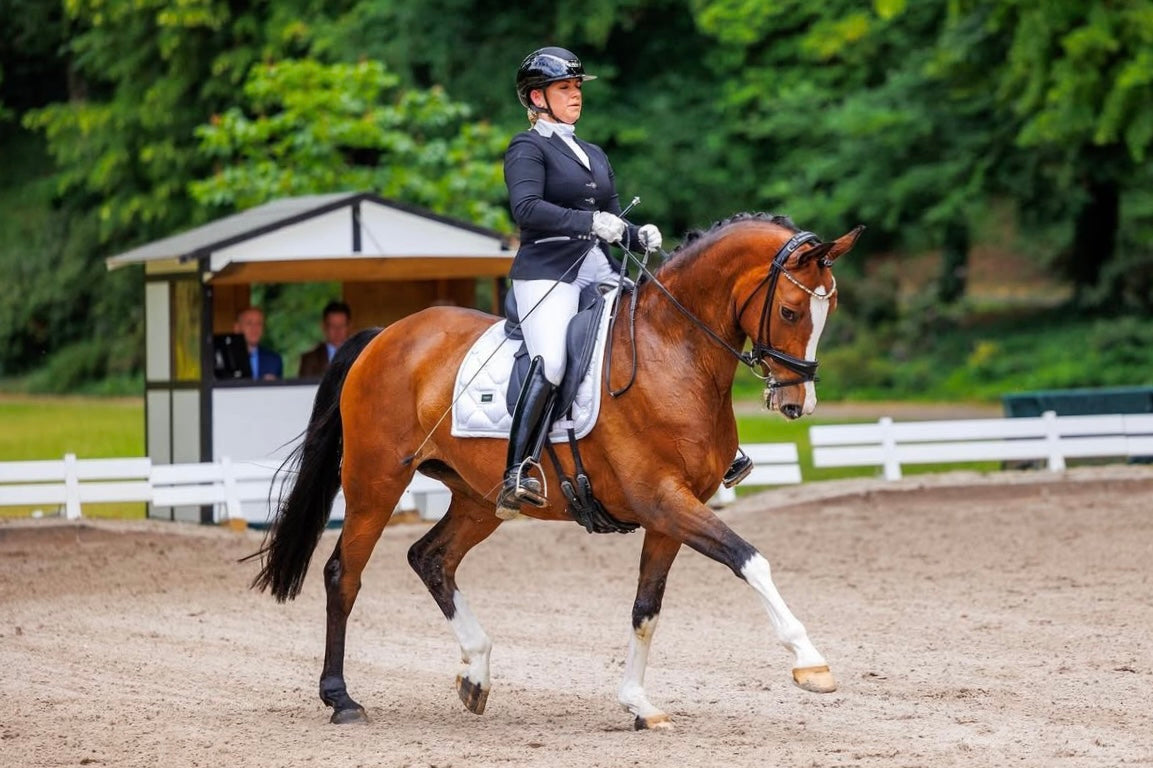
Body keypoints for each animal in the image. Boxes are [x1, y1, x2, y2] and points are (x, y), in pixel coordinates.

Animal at [251, 212, 863, 730]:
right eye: (790, 311)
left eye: (827, 313)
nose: (797, 404)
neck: (673, 352)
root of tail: (384, 335)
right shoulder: (663, 499)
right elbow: (750, 560)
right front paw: (811, 663)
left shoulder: (670, 514)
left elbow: (646, 608)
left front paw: (639, 704)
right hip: (376, 481)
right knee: (343, 574)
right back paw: (341, 699)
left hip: (479, 498)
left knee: (430, 558)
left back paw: (476, 673)